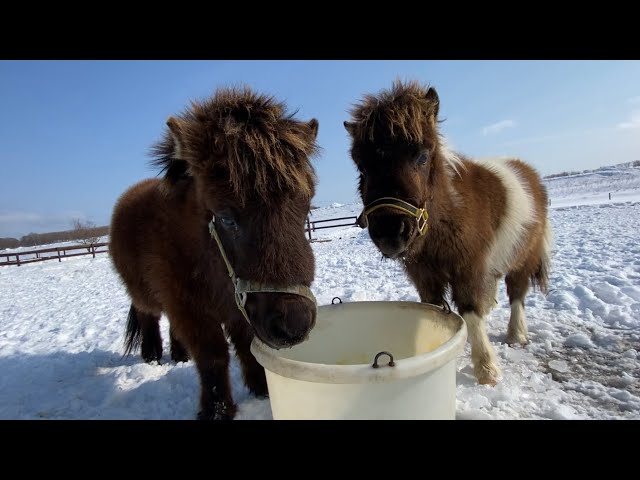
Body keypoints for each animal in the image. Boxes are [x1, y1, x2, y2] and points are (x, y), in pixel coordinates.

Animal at [109, 86, 320, 419]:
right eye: (226, 218)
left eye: (306, 209)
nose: (294, 323)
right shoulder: (192, 310)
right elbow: (213, 356)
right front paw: (216, 411)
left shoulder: (239, 308)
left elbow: (246, 346)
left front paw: (261, 388)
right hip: (145, 297)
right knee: (149, 319)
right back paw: (153, 357)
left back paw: (179, 356)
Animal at [343, 80, 552, 386]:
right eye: (362, 166)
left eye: (422, 156)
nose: (391, 233)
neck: (445, 218)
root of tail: (529, 173)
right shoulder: (424, 275)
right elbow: (432, 310)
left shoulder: (468, 267)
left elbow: (470, 309)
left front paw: (486, 369)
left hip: (523, 257)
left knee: (517, 293)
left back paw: (517, 334)